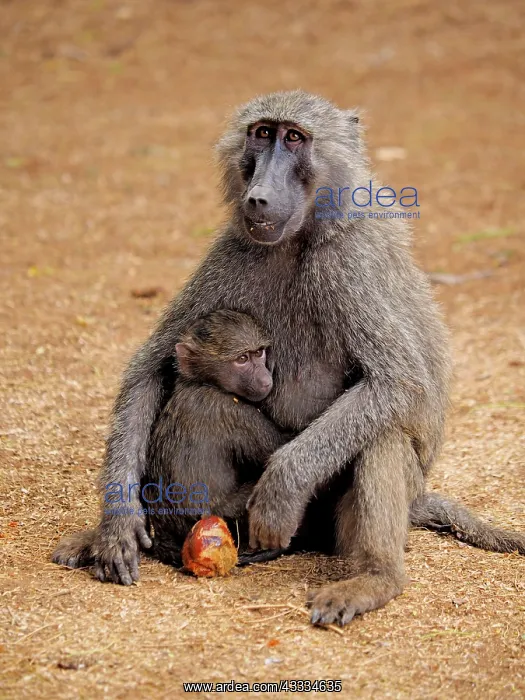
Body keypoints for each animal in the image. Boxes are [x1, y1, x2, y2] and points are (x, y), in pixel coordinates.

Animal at [52, 91, 524, 626]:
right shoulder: (231, 252)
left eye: (294, 138)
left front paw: (281, 487)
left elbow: (398, 383)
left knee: (382, 434)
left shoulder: (347, 264)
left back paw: (374, 578)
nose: (258, 196)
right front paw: (119, 525)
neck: (299, 238)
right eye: (262, 134)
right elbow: (153, 368)